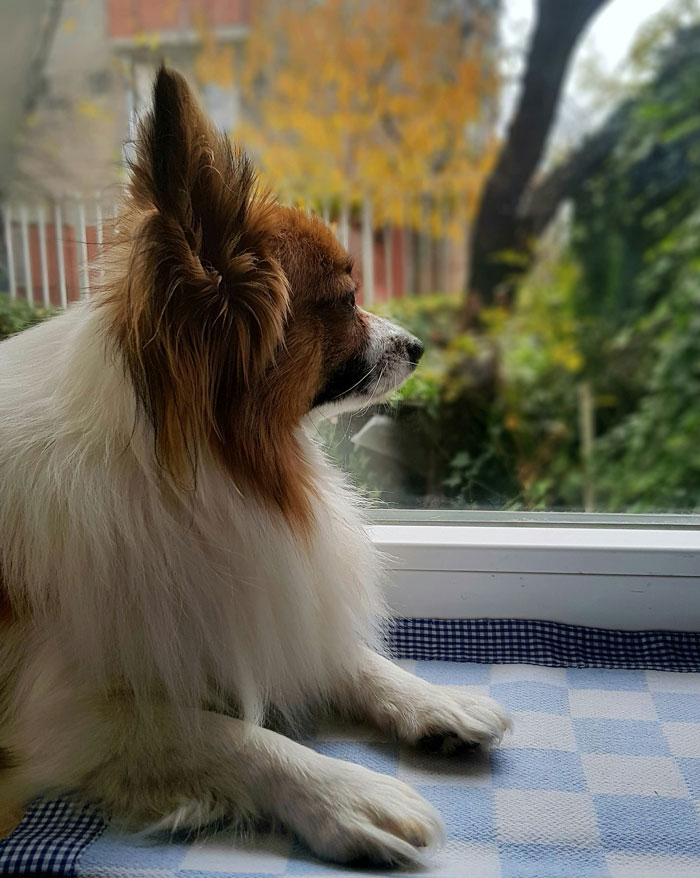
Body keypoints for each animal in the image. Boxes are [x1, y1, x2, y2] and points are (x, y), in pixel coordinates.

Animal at [0, 67, 506, 868]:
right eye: (344, 302)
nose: (419, 344)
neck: (207, 464)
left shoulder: (253, 595)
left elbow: (336, 649)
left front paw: (430, 699)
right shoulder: (65, 712)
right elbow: (229, 735)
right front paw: (343, 794)